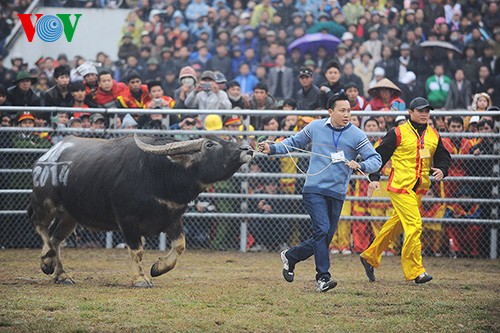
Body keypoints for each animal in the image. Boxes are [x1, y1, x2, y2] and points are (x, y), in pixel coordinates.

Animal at [30, 134, 254, 286]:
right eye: (209, 144)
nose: (247, 149)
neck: (160, 173)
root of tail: (46, 157)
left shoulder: (172, 217)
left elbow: (180, 246)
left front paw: (158, 268)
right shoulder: (127, 220)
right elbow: (137, 250)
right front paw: (140, 279)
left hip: (70, 215)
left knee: (56, 239)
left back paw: (61, 274)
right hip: (45, 203)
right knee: (42, 229)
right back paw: (47, 260)